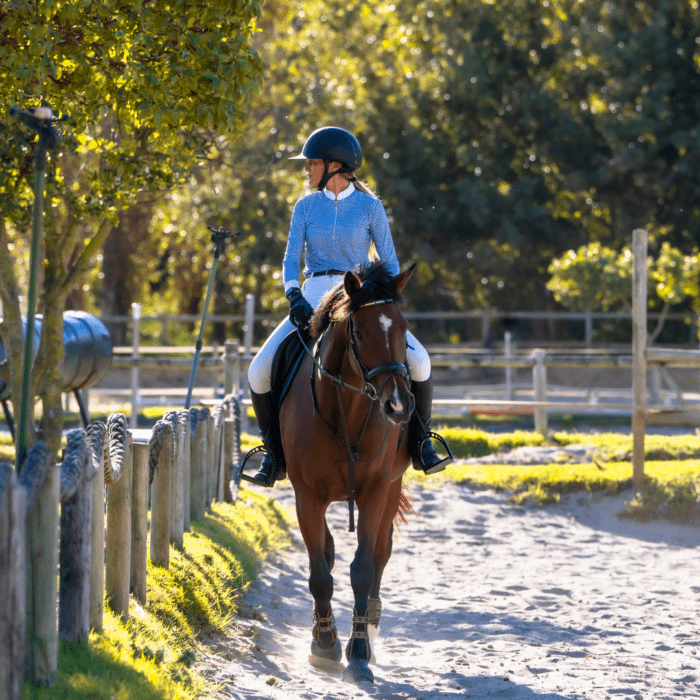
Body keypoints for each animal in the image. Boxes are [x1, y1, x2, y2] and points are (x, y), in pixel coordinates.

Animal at [278, 262, 416, 684]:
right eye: (360, 333)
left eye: (404, 329)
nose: (399, 406)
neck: (348, 412)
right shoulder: (307, 495)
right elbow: (320, 571)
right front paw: (325, 643)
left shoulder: (375, 492)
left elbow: (364, 569)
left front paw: (357, 652)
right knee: (327, 553)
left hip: (392, 487)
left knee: (382, 553)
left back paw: (370, 625)